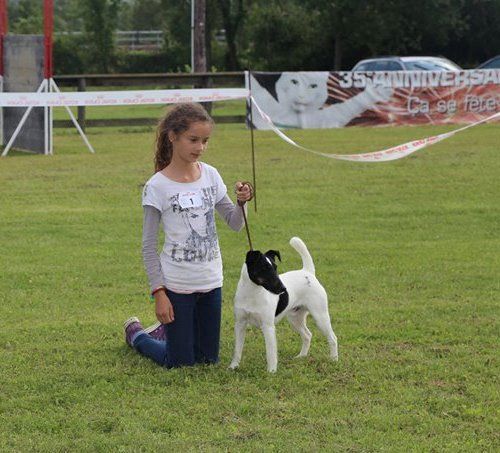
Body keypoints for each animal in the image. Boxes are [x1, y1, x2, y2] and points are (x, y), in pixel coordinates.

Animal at [229, 237, 338, 370]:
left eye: (275, 267)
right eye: (264, 268)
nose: (283, 288)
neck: (252, 294)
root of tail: (308, 272)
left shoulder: (268, 327)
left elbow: (270, 353)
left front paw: (271, 371)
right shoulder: (240, 324)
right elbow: (237, 350)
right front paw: (233, 366)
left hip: (320, 317)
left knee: (332, 338)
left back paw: (334, 359)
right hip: (295, 319)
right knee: (307, 335)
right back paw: (301, 356)